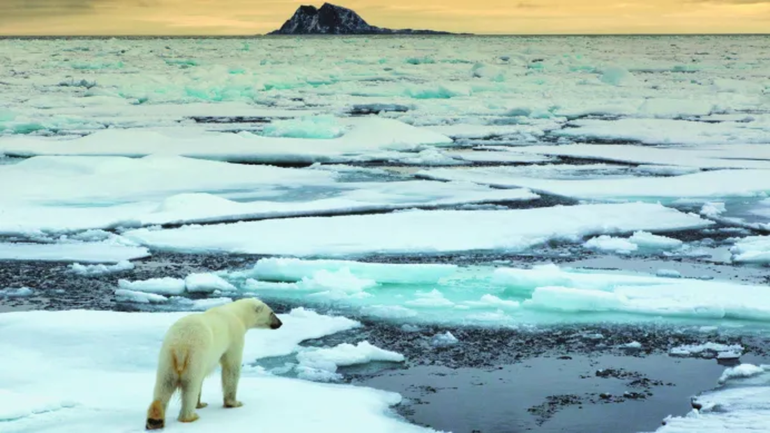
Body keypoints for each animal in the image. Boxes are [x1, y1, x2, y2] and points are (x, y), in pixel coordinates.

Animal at [145, 296, 282, 428]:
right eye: (272, 312)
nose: (280, 323)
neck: (237, 314)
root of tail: (180, 346)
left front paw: (200, 404)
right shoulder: (234, 337)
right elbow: (231, 368)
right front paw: (234, 403)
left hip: (167, 357)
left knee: (164, 385)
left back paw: (155, 420)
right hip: (195, 356)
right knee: (190, 385)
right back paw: (190, 417)